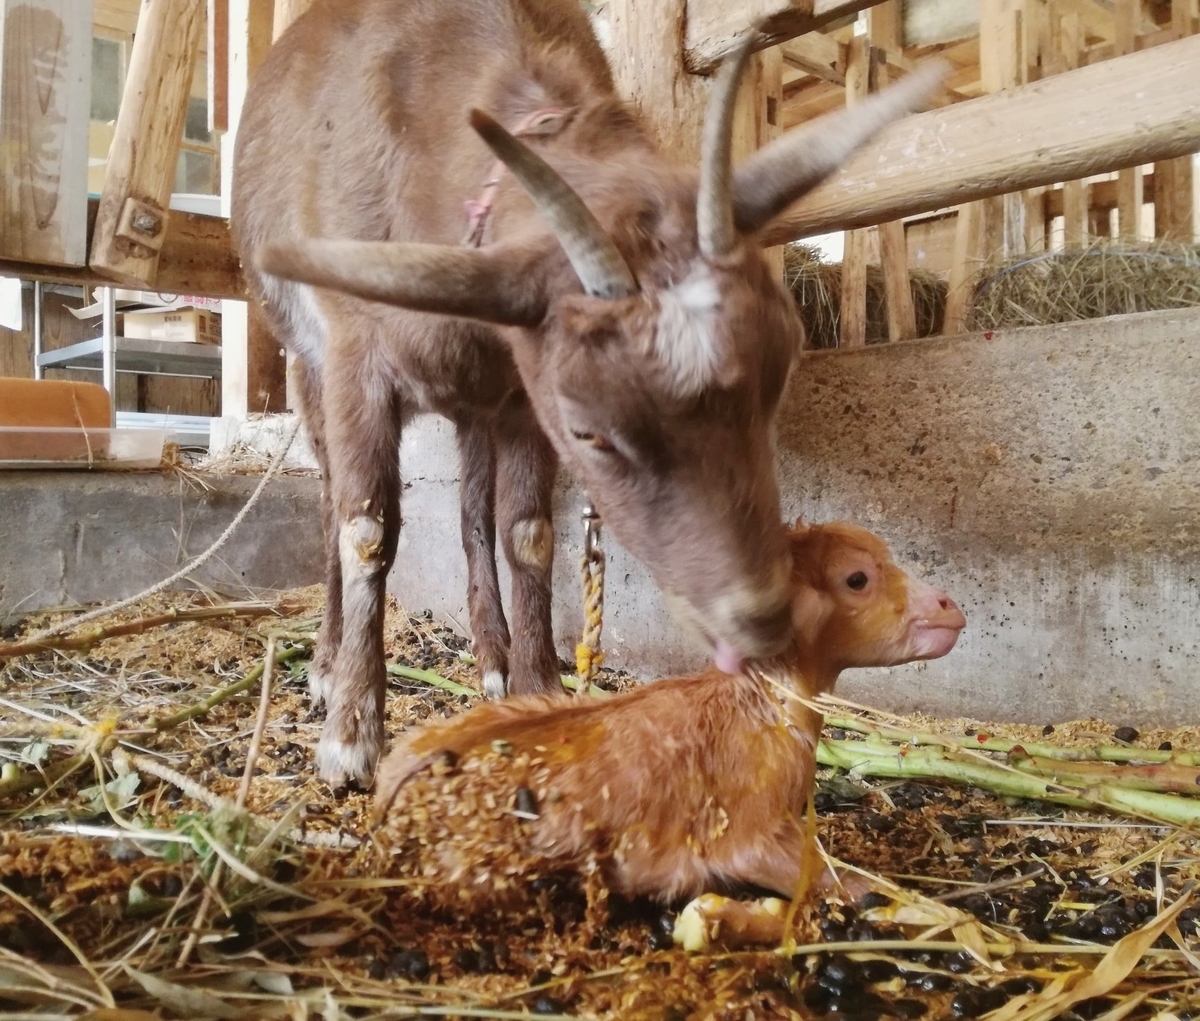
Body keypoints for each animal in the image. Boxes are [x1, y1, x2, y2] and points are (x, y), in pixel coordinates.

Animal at [234, 0, 945, 782]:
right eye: (589, 430)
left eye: (780, 374)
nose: (760, 616)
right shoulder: (356, 356)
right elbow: (365, 531)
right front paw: (351, 733)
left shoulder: (518, 391)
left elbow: (528, 534)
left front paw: (536, 690)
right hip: (308, 368)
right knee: (333, 503)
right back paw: (328, 664)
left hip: (476, 401)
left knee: (472, 511)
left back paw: (491, 659)